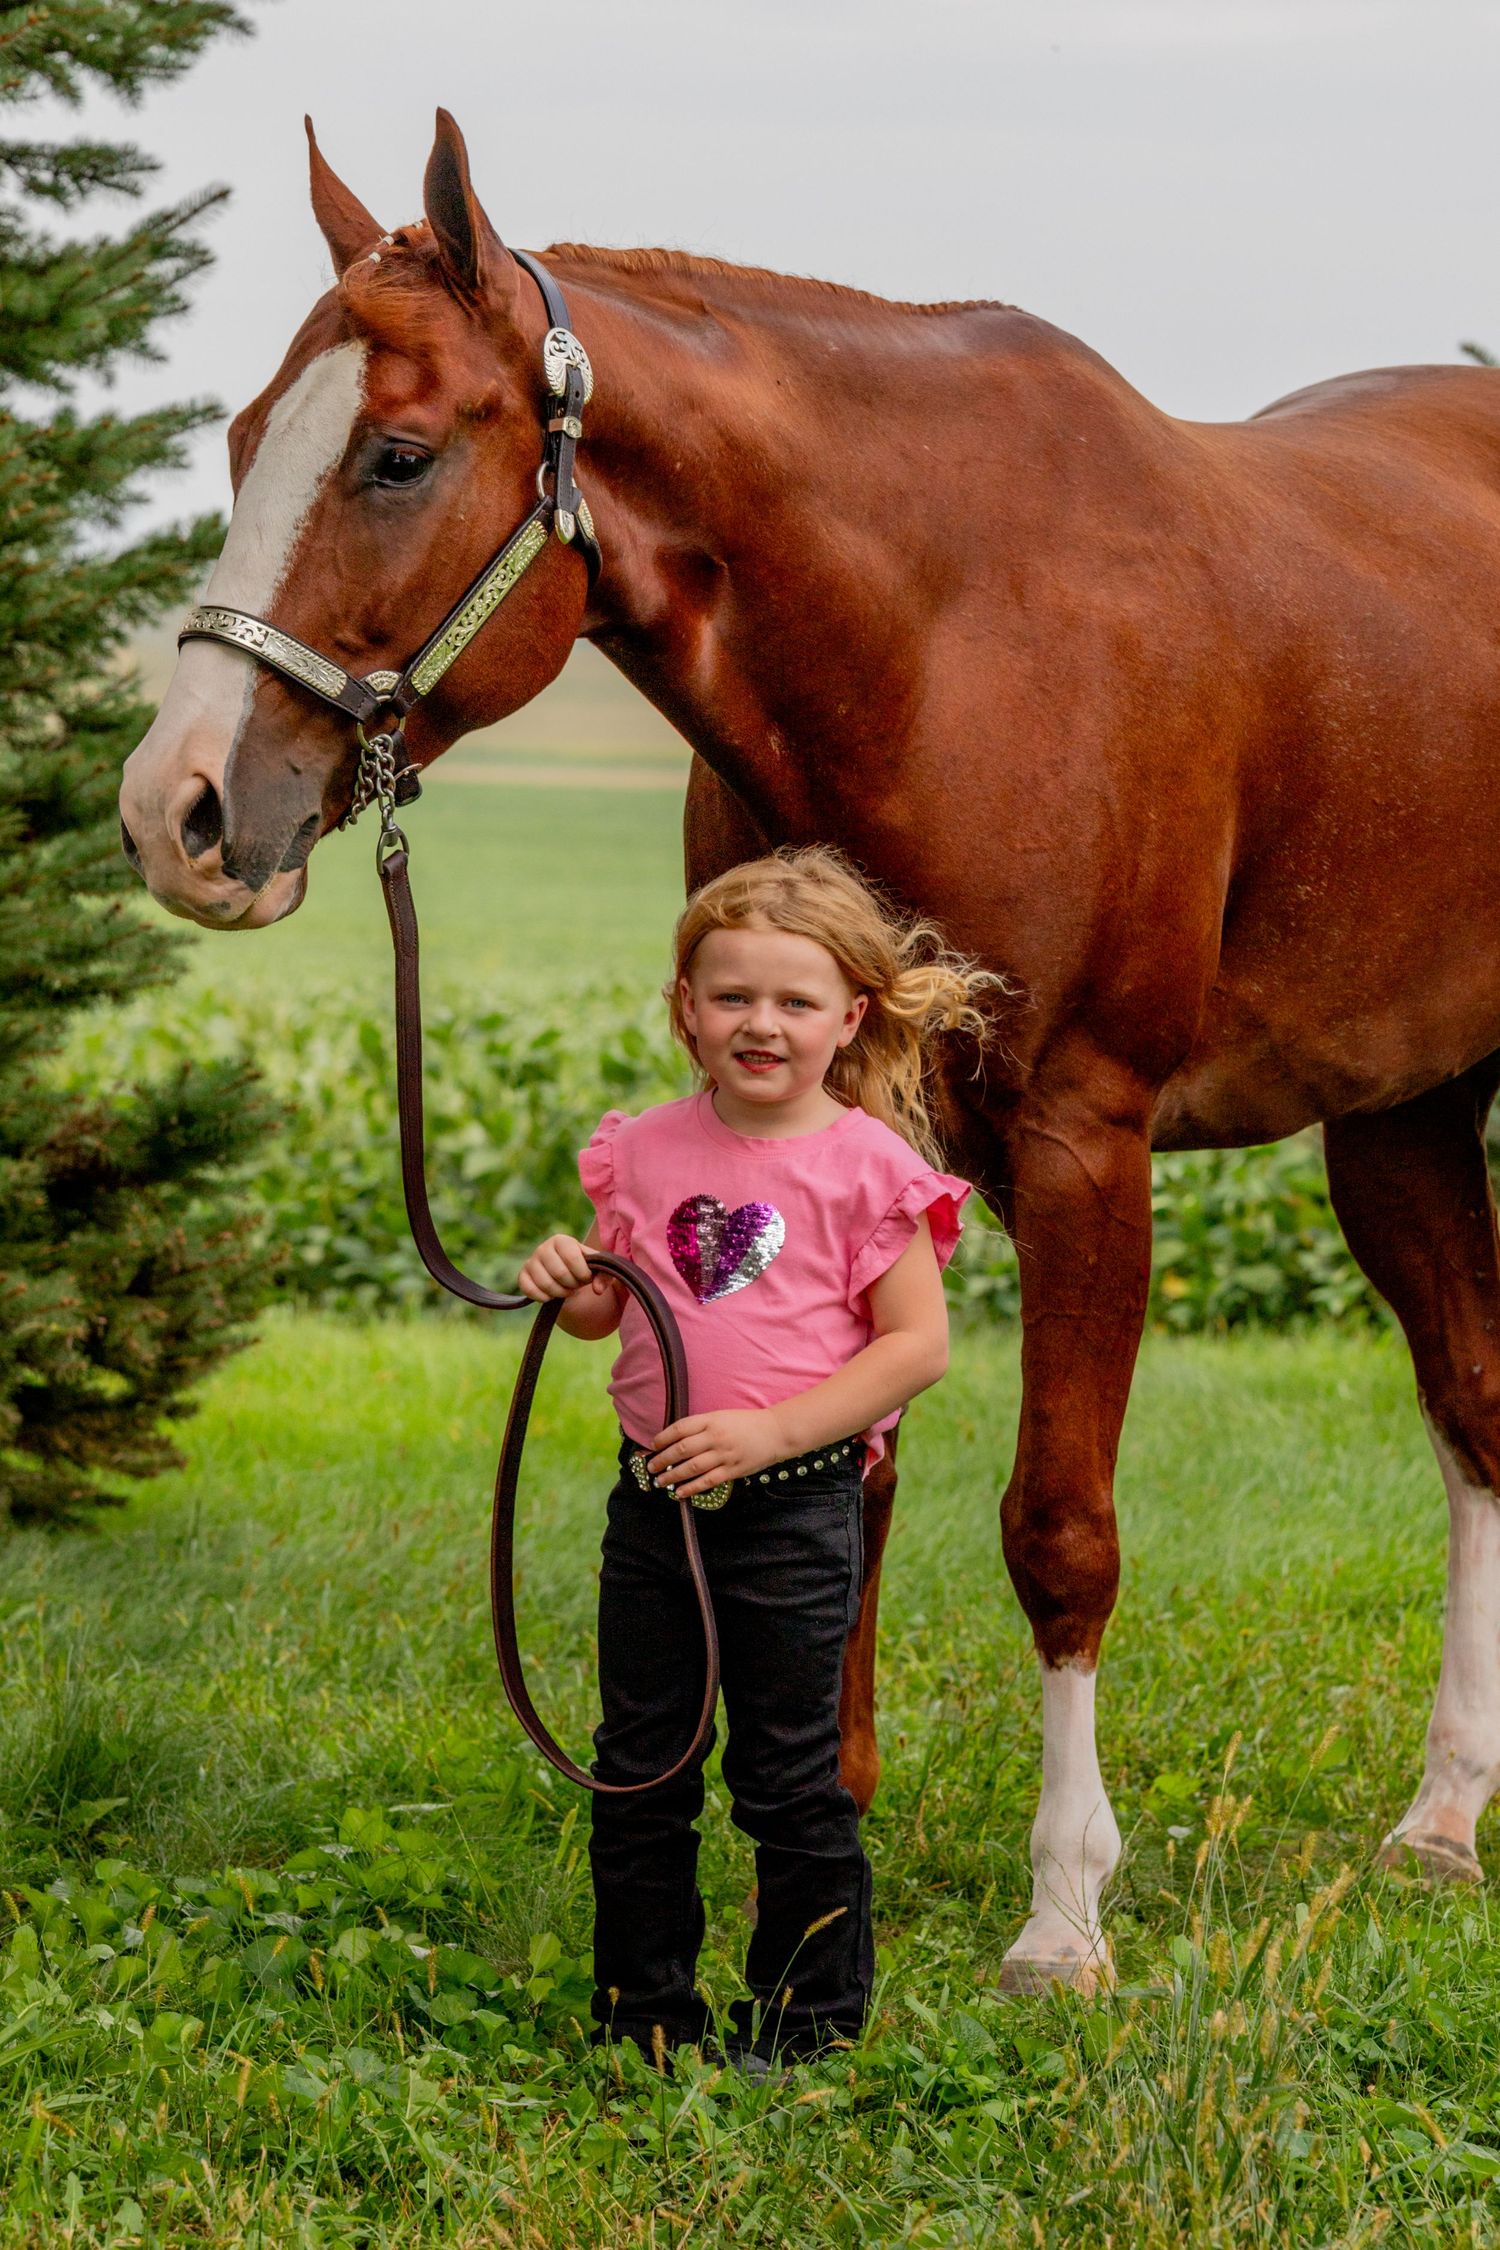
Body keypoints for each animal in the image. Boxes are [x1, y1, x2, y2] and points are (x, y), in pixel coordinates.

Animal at [120, 108, 1500, 1991]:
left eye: (397, 458)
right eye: (248, 440)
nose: (177, 811)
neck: (945, 629)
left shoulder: (1087, 1146)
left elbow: (1058, 1528)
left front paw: (1063, 1913)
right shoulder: (872, 1139)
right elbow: (850, 1480)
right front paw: (826, 1857)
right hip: (1405, 1118)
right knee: (1475, 1411)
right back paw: (1443, 1819)